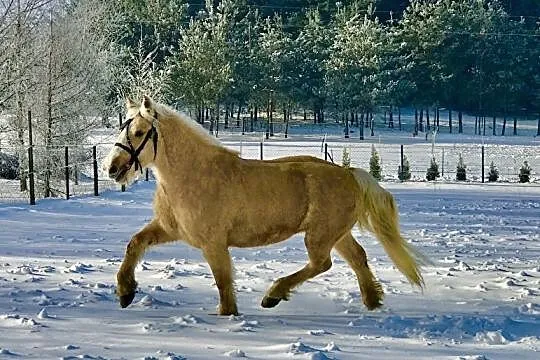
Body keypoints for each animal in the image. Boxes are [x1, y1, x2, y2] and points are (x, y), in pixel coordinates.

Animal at [104, 95, 426, 316]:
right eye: (122, 128)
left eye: (138, 132)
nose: (112, 168)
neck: (193, 176)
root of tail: (349, 173)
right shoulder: (169, 229)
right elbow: (134, 244)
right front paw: (125, 293)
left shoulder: (214, 243)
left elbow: (223, 282)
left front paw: (228, 315)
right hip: (337, 234)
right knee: (357, 257)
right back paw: (373, 302)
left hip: (320, 235)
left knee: (322, 263)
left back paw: (273, 295)